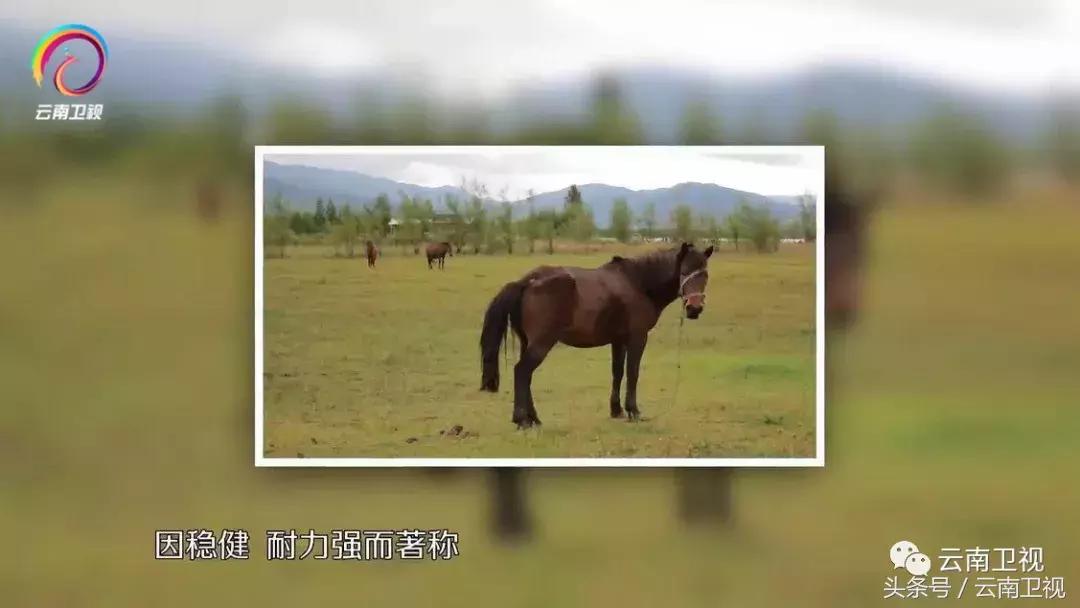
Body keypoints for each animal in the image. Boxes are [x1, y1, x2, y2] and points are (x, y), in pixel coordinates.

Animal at [480, 242, 712, 428]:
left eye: (705, 275)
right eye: (684, 272)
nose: (694, 309)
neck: (638, 283)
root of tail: (527, 281)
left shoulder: (618, 340)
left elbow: (617, 372)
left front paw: (616, 410)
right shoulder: (637, 338)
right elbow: (633, 373)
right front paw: (633, 411)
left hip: (527, 342)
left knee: (525, 375)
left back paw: (534, 418)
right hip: (541, 343)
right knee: (522, 371)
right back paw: (522, 420)